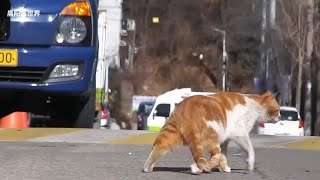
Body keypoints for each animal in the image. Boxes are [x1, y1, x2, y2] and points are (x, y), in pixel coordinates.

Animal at [143, 91, 280, 174]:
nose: (280, 116)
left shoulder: (225, 140)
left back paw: (148, 167)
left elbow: (225, 155)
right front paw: (250, 164)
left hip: (170, 133)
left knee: (158, 147)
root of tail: (186, 112)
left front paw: (225, 168)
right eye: (278, 110)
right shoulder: (240, 134)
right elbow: (250, 150)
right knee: (212, 157)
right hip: (214, 134)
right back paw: (197, 168)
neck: (253, 106)